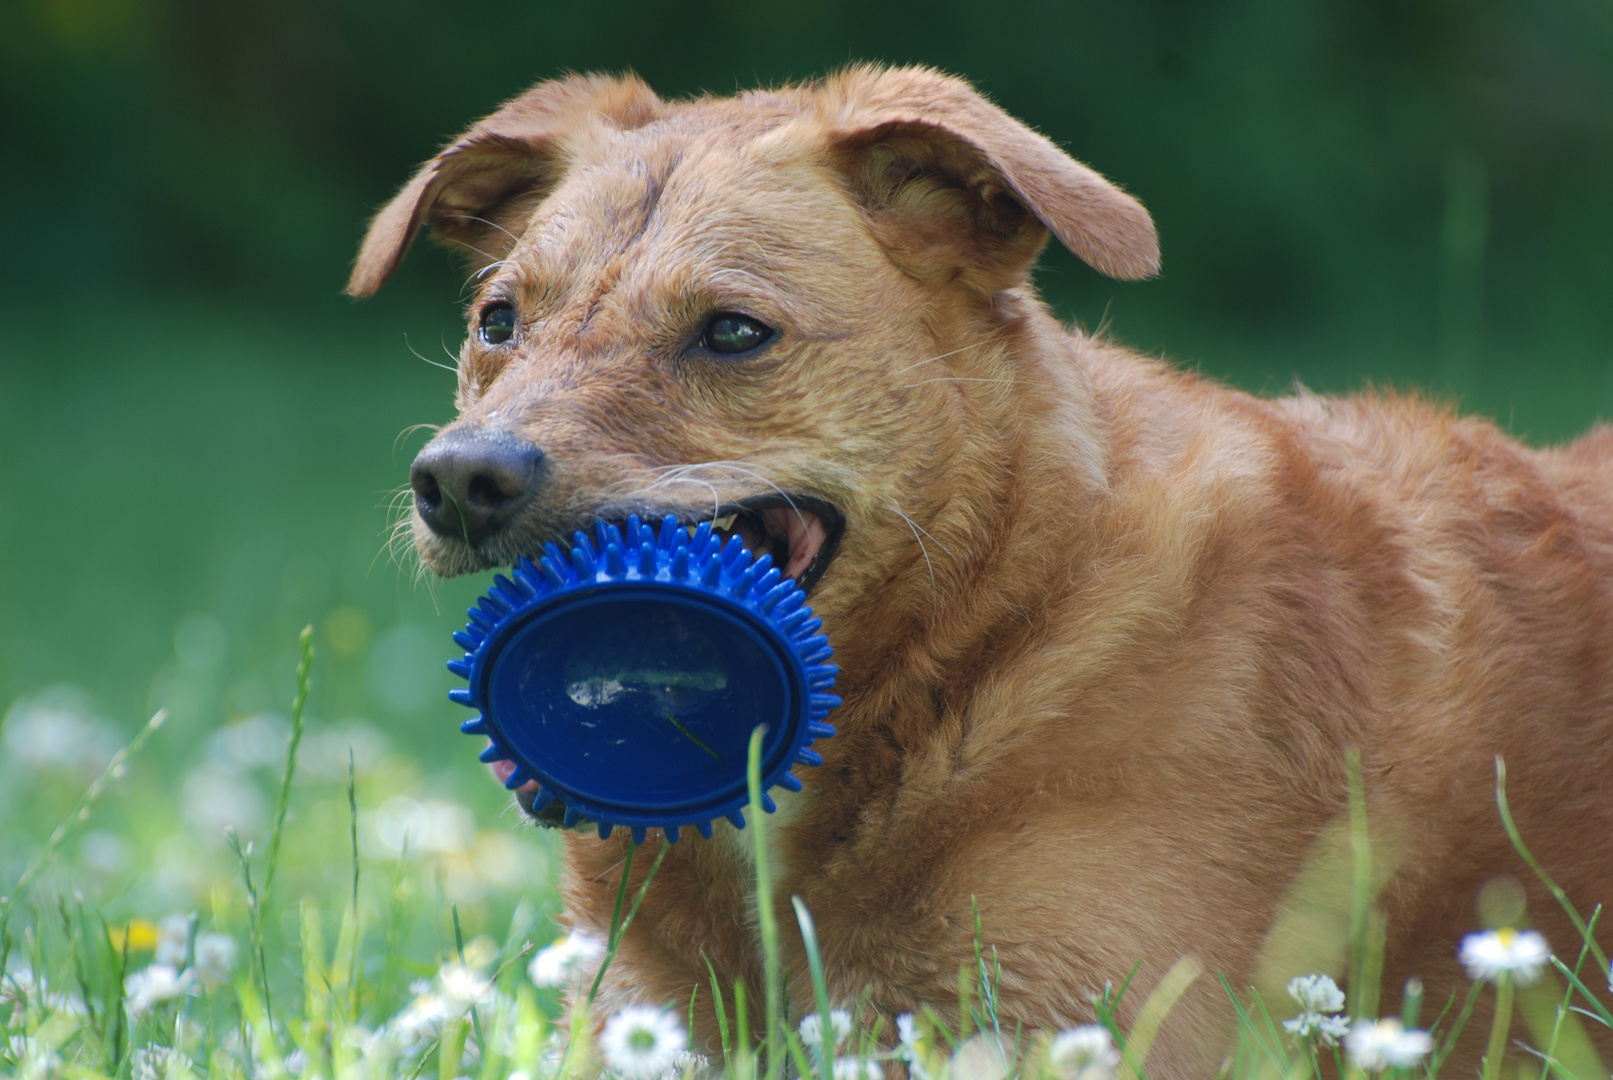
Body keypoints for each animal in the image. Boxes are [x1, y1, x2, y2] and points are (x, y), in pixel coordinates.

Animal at [353, 65, 1613, 1076]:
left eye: (732, 332)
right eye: (498, 320)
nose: (458, 478)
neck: (996, 621)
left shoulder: (1073, 1017)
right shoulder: (641, 1021)